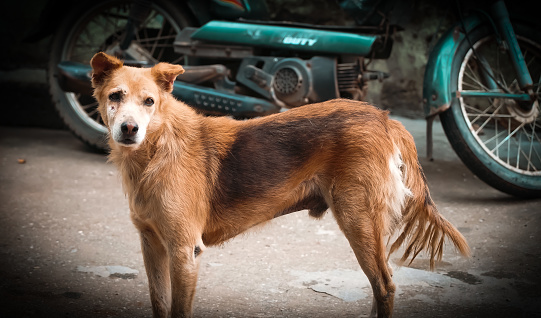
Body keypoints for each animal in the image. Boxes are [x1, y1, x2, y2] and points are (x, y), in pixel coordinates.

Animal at [89, 52, 468, 318]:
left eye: (149, 102)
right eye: (115, 96)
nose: (129, 129)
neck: (156, 150)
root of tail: (384, 118)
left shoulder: (184, 252)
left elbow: (179, 309)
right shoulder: (151, 245)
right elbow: (159, 303)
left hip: (358, 220)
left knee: (386, 286)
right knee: (380, 284)